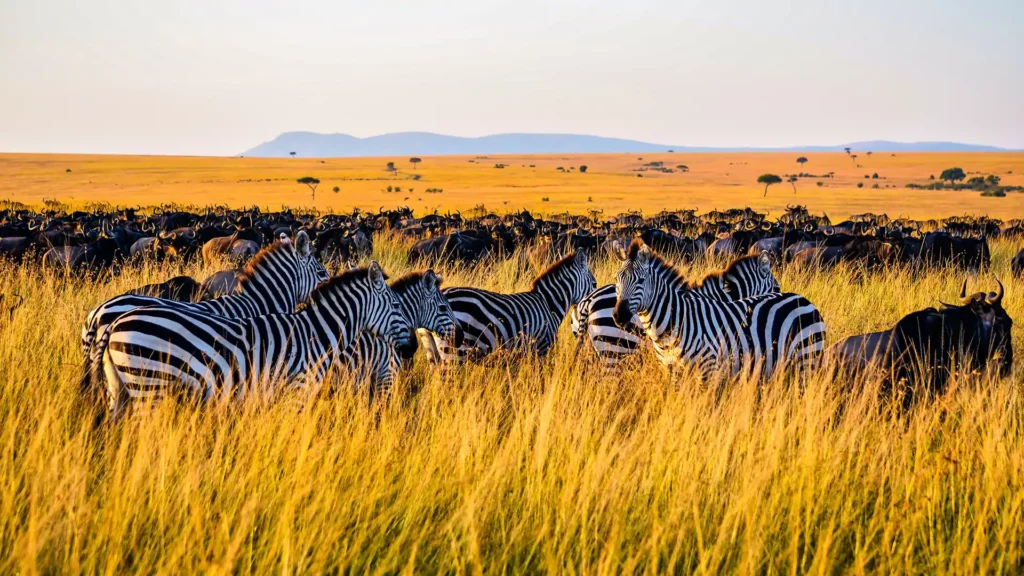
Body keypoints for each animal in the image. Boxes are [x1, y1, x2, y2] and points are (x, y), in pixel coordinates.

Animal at [100, 260, 407, 416]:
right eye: (396, 305)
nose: (411, 347)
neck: (317, 334)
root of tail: (114, 323)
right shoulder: (297, 391)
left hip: (121, 389)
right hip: (148, 385)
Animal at [610, 238, 827, 377]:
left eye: (641, 280)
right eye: (617, 279)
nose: (619, 315)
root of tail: (805, 299)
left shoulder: (709, 369)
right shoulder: (672, 371)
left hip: (807, 359)